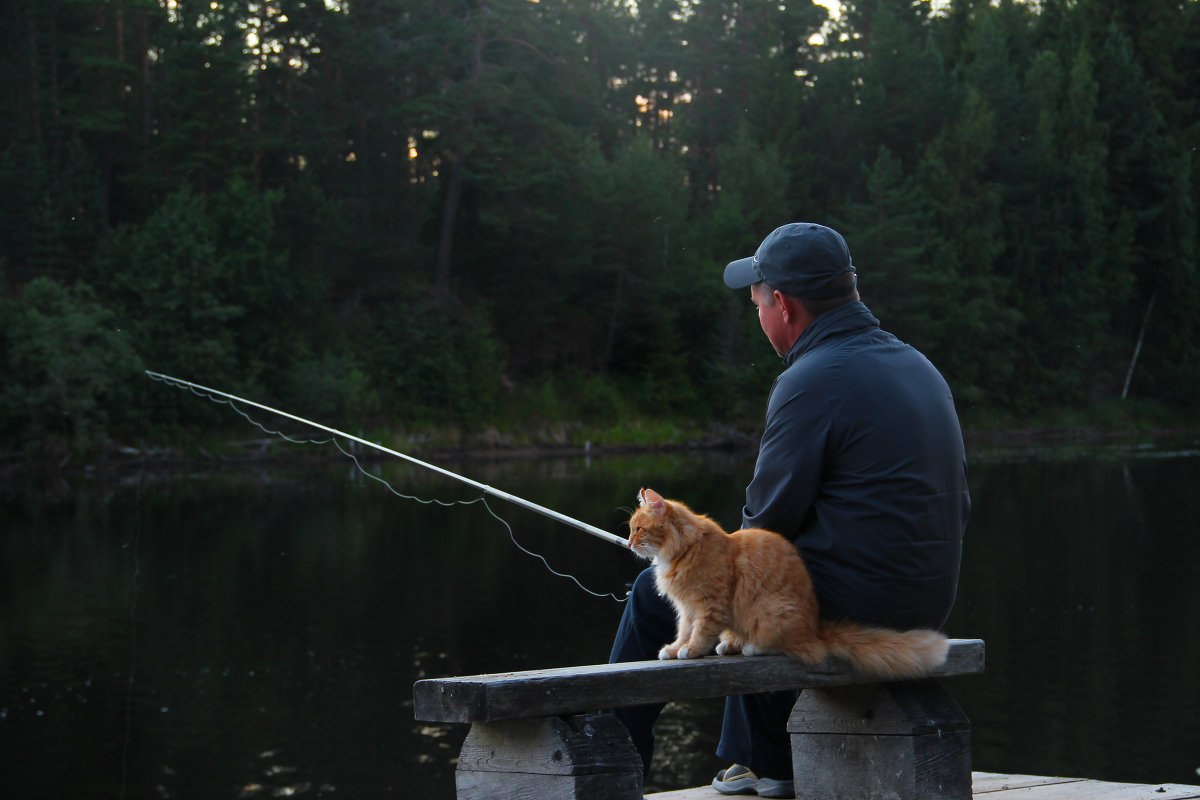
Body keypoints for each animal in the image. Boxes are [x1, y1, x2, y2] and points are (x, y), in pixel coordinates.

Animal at [628, 484, 945, 681]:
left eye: (639, 529)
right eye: (630, 530)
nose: (629, 543)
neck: (682, 550)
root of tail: (816, 630)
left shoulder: (709, 605)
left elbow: (699, 634)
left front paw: (691, 651)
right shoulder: (686, 609)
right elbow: (683, 632)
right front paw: (674, 649)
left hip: (771, 611)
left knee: (795, 648)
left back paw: (753, 646)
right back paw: (731, 645)